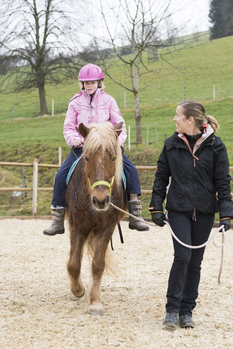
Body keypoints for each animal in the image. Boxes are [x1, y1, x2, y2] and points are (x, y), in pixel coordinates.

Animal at [65, 121, 126, 314]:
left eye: (113, 158)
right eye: (87, 158)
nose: (100, 200)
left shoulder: (106, 228)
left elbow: (98, 265)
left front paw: (95, 302)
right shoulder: (77, 226)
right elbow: (73, 264)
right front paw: (78, 290)